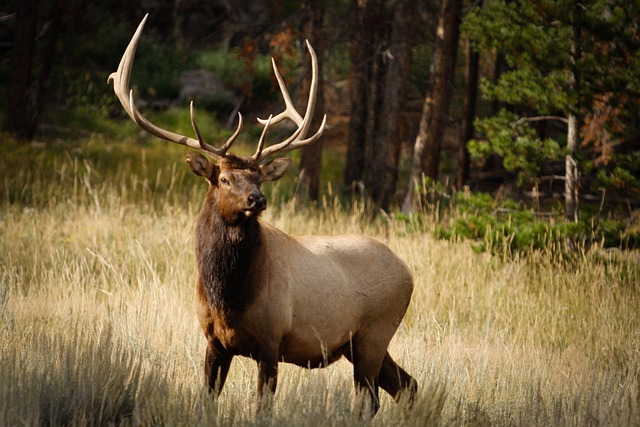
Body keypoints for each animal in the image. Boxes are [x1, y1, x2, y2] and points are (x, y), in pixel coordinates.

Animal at [108, 14, 417, 415]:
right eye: (224, 178)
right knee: (407, 385)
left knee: (373, 399)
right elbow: (207, 400)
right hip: (359, 343)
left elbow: (262, 409)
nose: (258, 199)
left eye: (257, 177)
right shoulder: (214, 342)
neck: (229, 299)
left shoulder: (271, 342)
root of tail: (408, 273)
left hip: (374, 333)